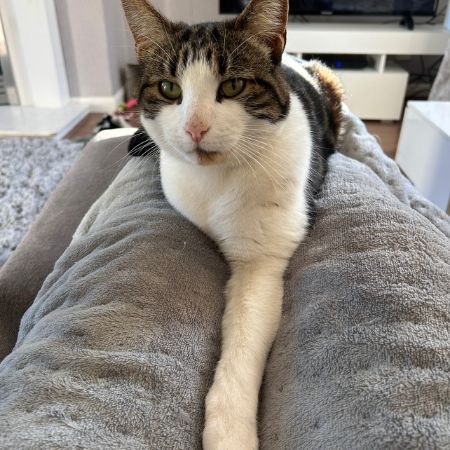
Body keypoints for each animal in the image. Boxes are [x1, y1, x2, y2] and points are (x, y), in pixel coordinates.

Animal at [122, 0, 343, 448]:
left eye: (234, 85)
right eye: (170, 89)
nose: (195, 128)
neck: (217, 180)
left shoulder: (263, 258)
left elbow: (243, 338)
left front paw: (228, 431)